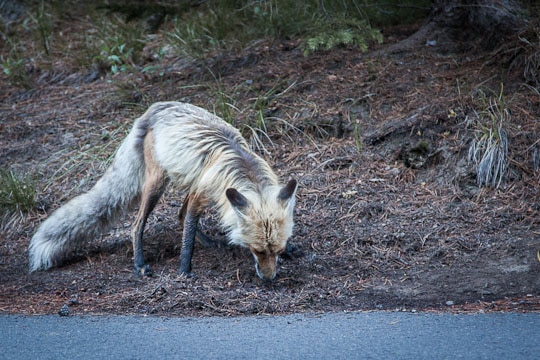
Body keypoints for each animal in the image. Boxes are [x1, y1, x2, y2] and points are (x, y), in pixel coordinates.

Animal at [28, 101, 300, 282]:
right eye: (257, 251)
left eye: (276, 251)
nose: (268, 279)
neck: (239, 163)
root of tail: (154, 108)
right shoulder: (202, 194)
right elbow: (187, 235)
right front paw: (184, 270)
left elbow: (187, 222)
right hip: (156, 184)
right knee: (137, 224)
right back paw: (140, 264)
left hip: (186, 178)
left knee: (179, 215)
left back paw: (210, 243)